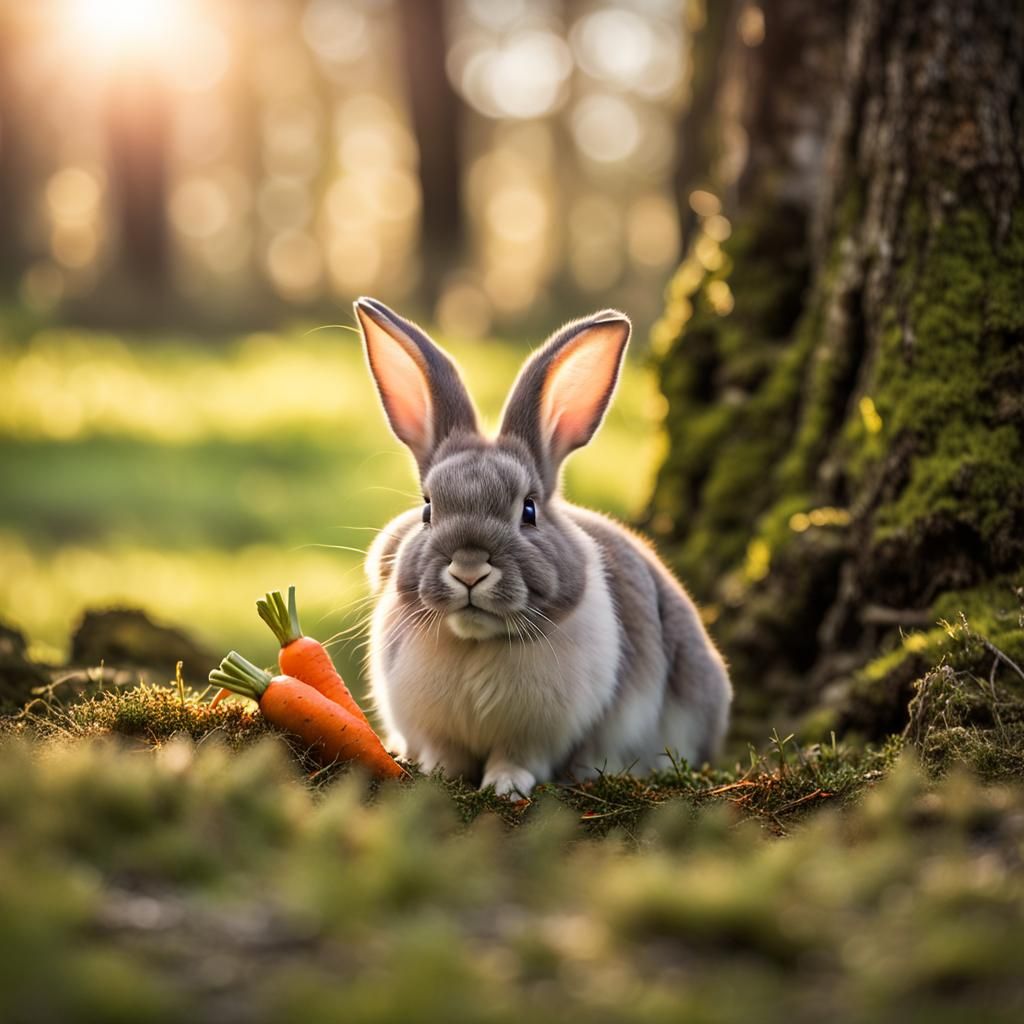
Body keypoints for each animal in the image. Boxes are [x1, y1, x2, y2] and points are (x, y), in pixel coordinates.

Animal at [354, 297, 731, 797]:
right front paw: (437, 775)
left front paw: (506, 787)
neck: (477, 641)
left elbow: (517, 759)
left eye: (529, 510)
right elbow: (445, 755)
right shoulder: (436, 728)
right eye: (428, 510)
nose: (469, 568)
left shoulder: (536, 736)